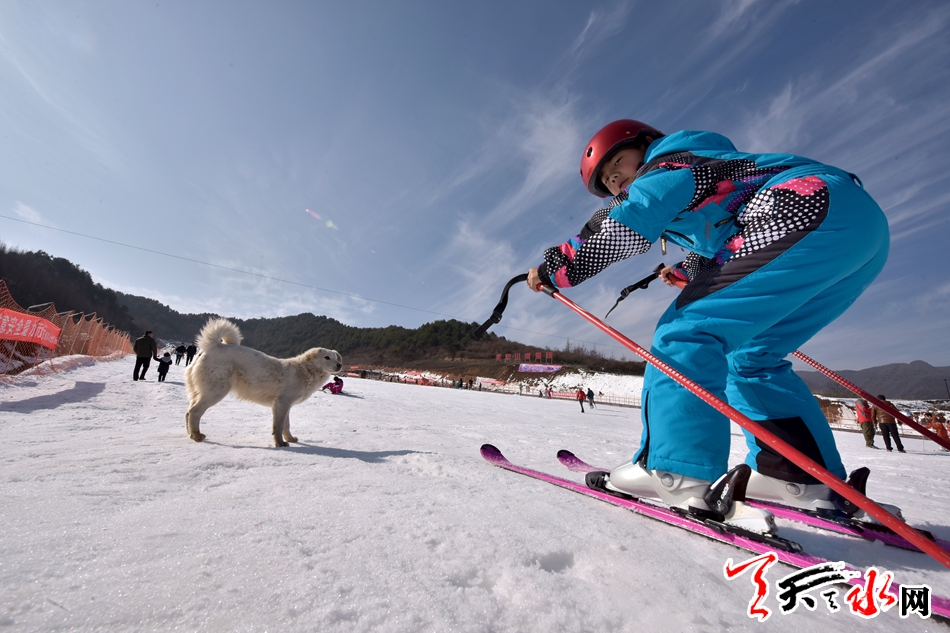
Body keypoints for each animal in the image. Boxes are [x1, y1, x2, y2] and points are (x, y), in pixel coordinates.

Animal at [184, 318, 344, 446]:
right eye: (327, 357)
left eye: (336, 357)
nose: (339, 365)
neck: (306, 370)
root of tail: (215, 346)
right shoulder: (282, 403)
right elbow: (279, 426)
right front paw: (280, 444)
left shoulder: (285, 405)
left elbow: (286, 425)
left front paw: (289, 439)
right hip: (216, 390)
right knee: (194, 412)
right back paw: (197, 436)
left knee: (188, 412)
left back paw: (191, 434)